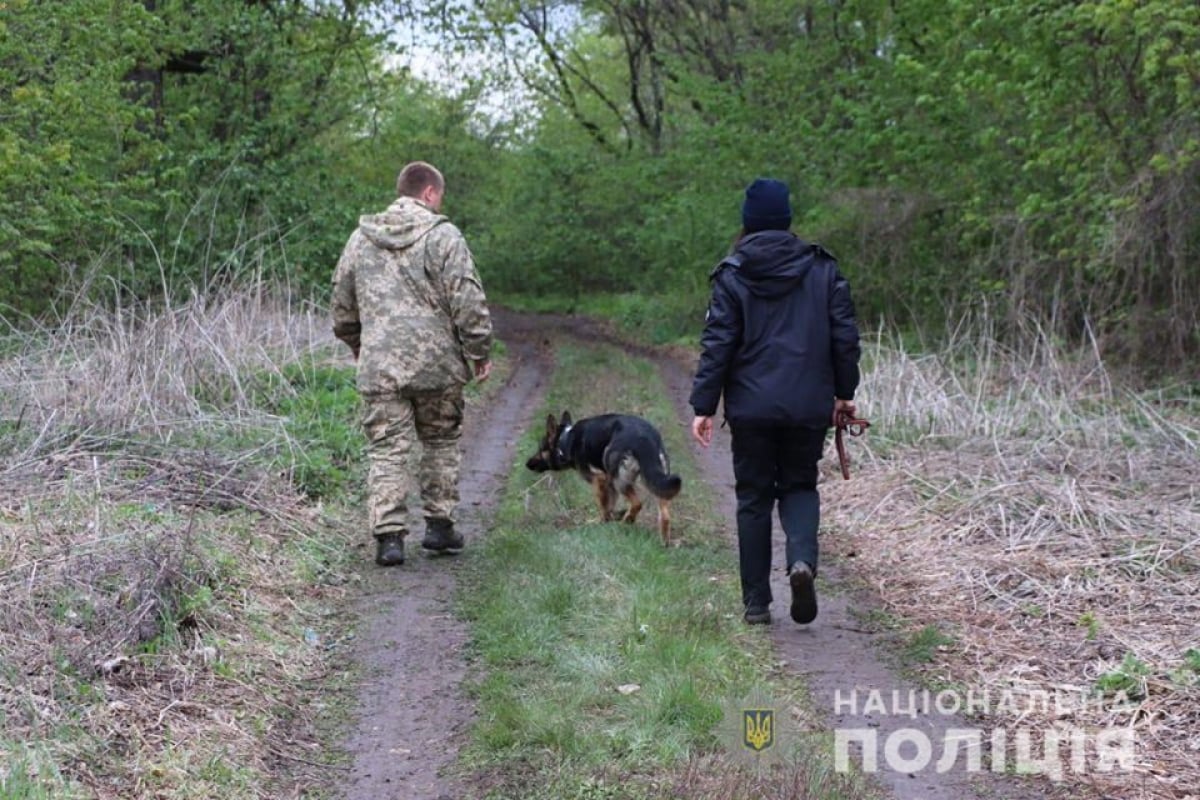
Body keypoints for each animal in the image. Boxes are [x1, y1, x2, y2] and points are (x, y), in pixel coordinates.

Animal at [528, 410, 686, 546]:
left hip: (619, 480)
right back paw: (664, 542)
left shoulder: (599, 480)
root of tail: (644, 438)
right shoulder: (608, 483)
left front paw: (601, 522)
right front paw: (612, 518)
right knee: (665, 516)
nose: (527, 464)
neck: (565, 440)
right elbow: (610, 506)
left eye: (540, 449)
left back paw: (627, 521)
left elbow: (603, 507)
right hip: (658, 482)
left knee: (637, 503)